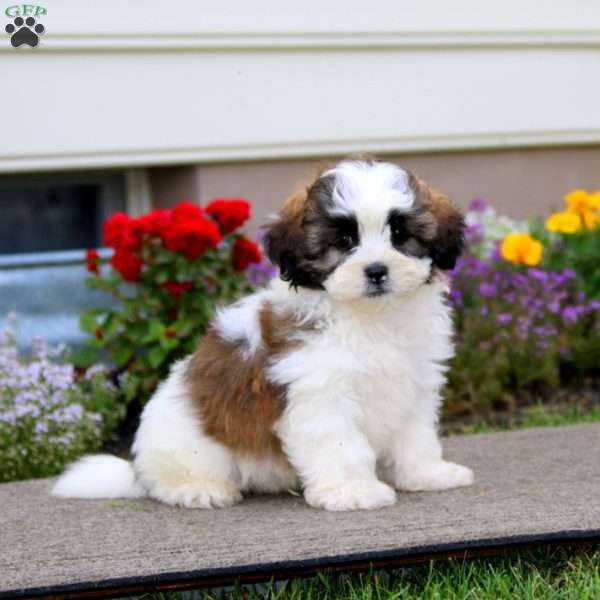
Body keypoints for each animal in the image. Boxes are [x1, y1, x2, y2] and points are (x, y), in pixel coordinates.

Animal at [51, 156, 474, 510]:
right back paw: (198, 488)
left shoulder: (415, 383)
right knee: (172, 478)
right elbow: (342, 446)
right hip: (187, 445)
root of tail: (137, 467)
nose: (376, 271)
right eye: (343, 241)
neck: (370, 317)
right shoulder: (321, 395)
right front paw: (352, 492)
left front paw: (427, 474)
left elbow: (416, 436)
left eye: (400, 234)